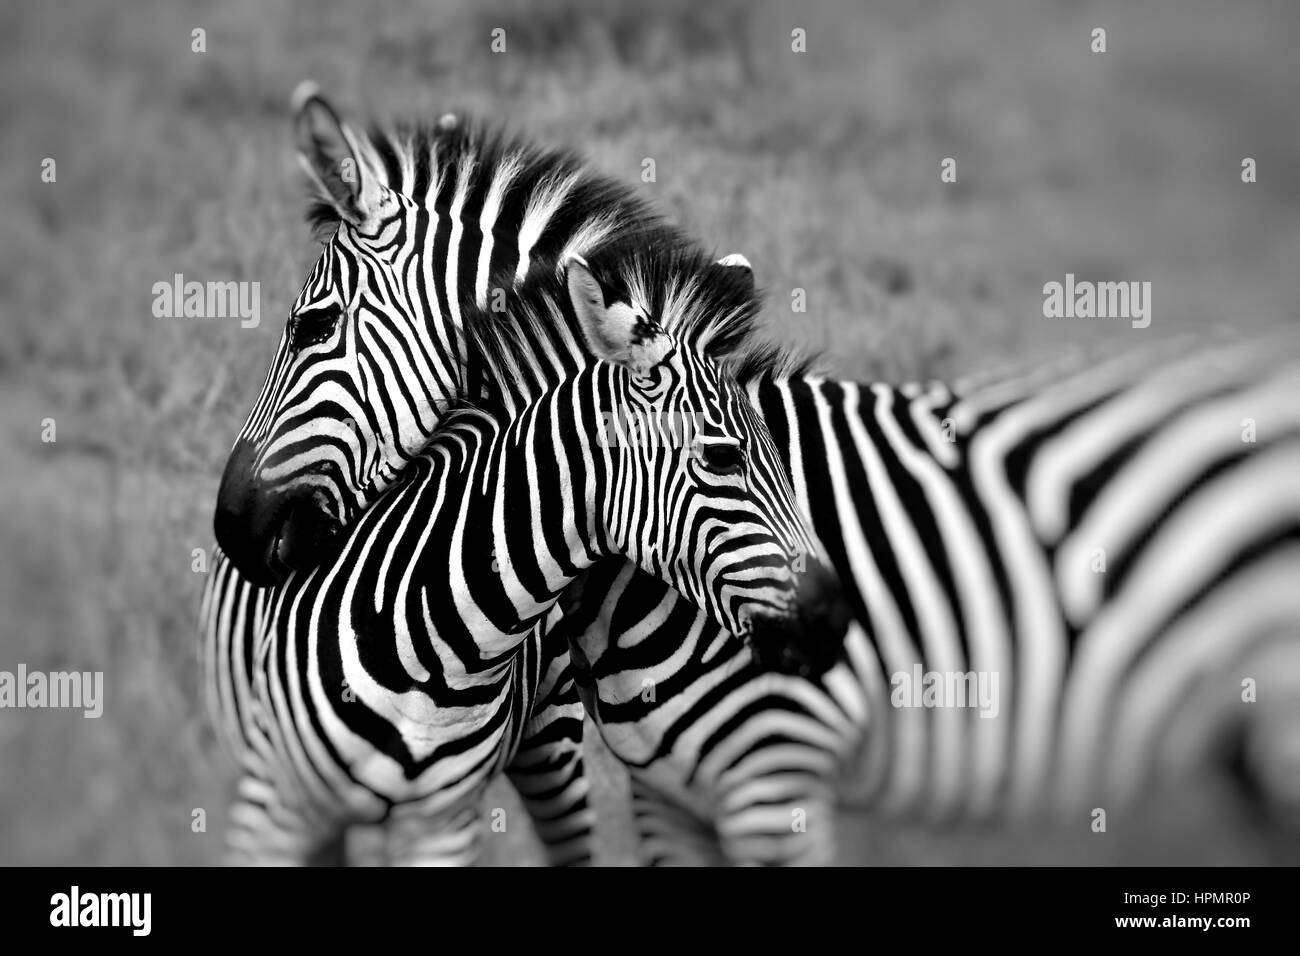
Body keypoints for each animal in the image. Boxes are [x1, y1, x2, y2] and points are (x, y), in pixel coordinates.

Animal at [205, 227, 851, 863]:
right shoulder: (274, 801)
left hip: (553, 743)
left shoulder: (441, 822)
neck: (436, 647)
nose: (833, 617)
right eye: (722, 458)